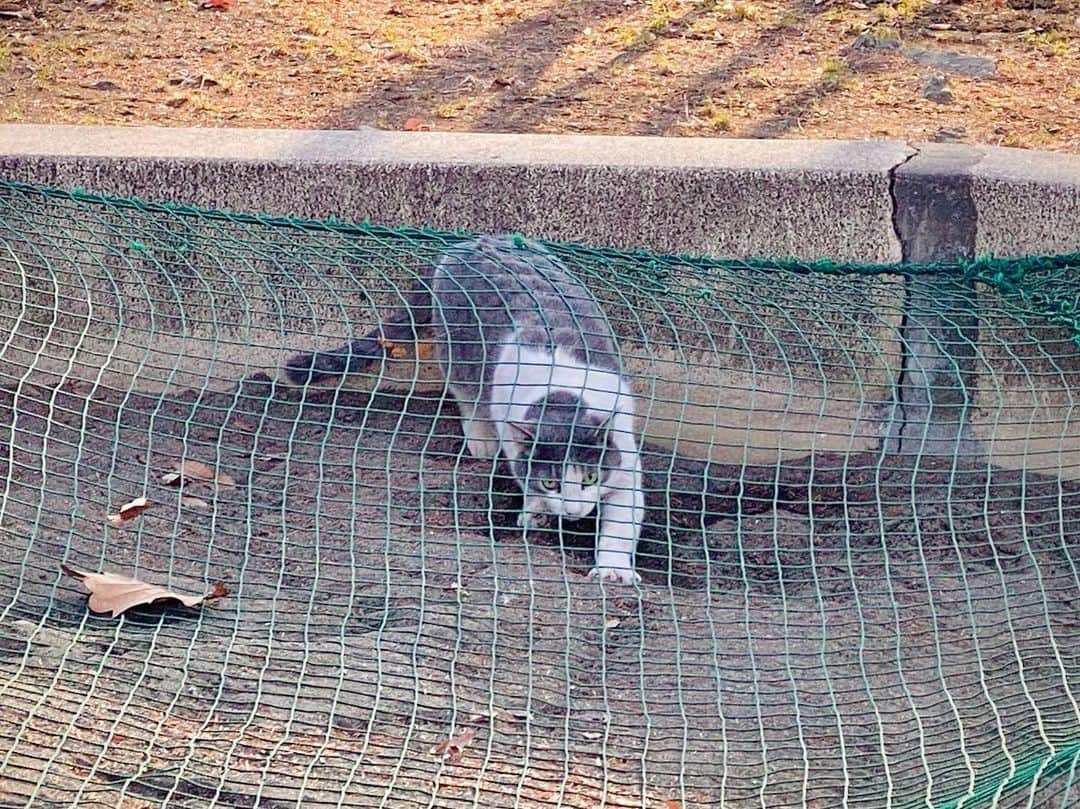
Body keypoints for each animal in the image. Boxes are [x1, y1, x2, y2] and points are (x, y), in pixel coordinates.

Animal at [282, 232, 643, 578]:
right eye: (551, 482)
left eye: (591, 478)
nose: (572, 510)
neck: (562, 393)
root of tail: (470, 242)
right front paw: (536, 508)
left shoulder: (624, 460)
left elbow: (622, 521)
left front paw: (613, 570)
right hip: (456, 351)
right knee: (466, 394)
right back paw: (481, 439)